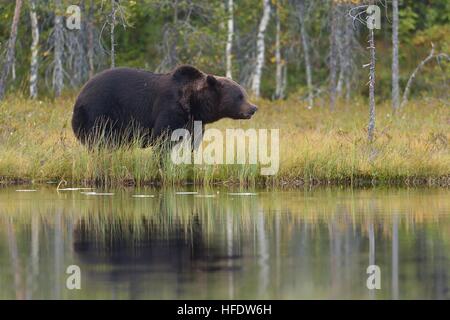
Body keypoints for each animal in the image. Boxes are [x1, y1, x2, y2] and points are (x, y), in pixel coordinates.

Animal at [72, 66, 258, 149]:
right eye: (240, 96)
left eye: (244, 94)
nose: (253, 108)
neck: (194, 104)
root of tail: (80, 93)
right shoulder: (171, 109)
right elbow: (163, 138)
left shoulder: (193, 122)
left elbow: (193, 143)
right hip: (99, 111)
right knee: (99, 139)